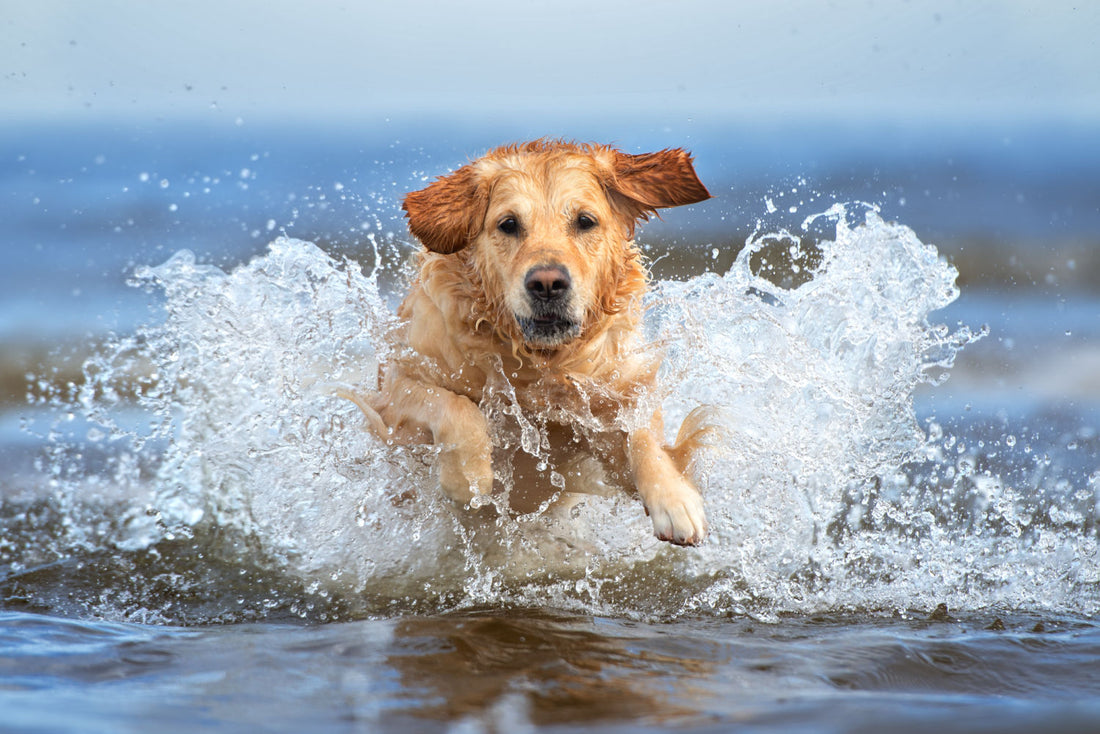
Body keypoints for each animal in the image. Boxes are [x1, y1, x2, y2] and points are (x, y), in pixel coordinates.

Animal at [354, 140, 712, 548]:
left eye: (585, 221)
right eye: (509, 224)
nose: (547, 283)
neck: (540, 366)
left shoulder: (617, 392)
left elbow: (642, 436)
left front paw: (674, 499)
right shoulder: (395, 388)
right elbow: (454, 405)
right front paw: (468, 478)